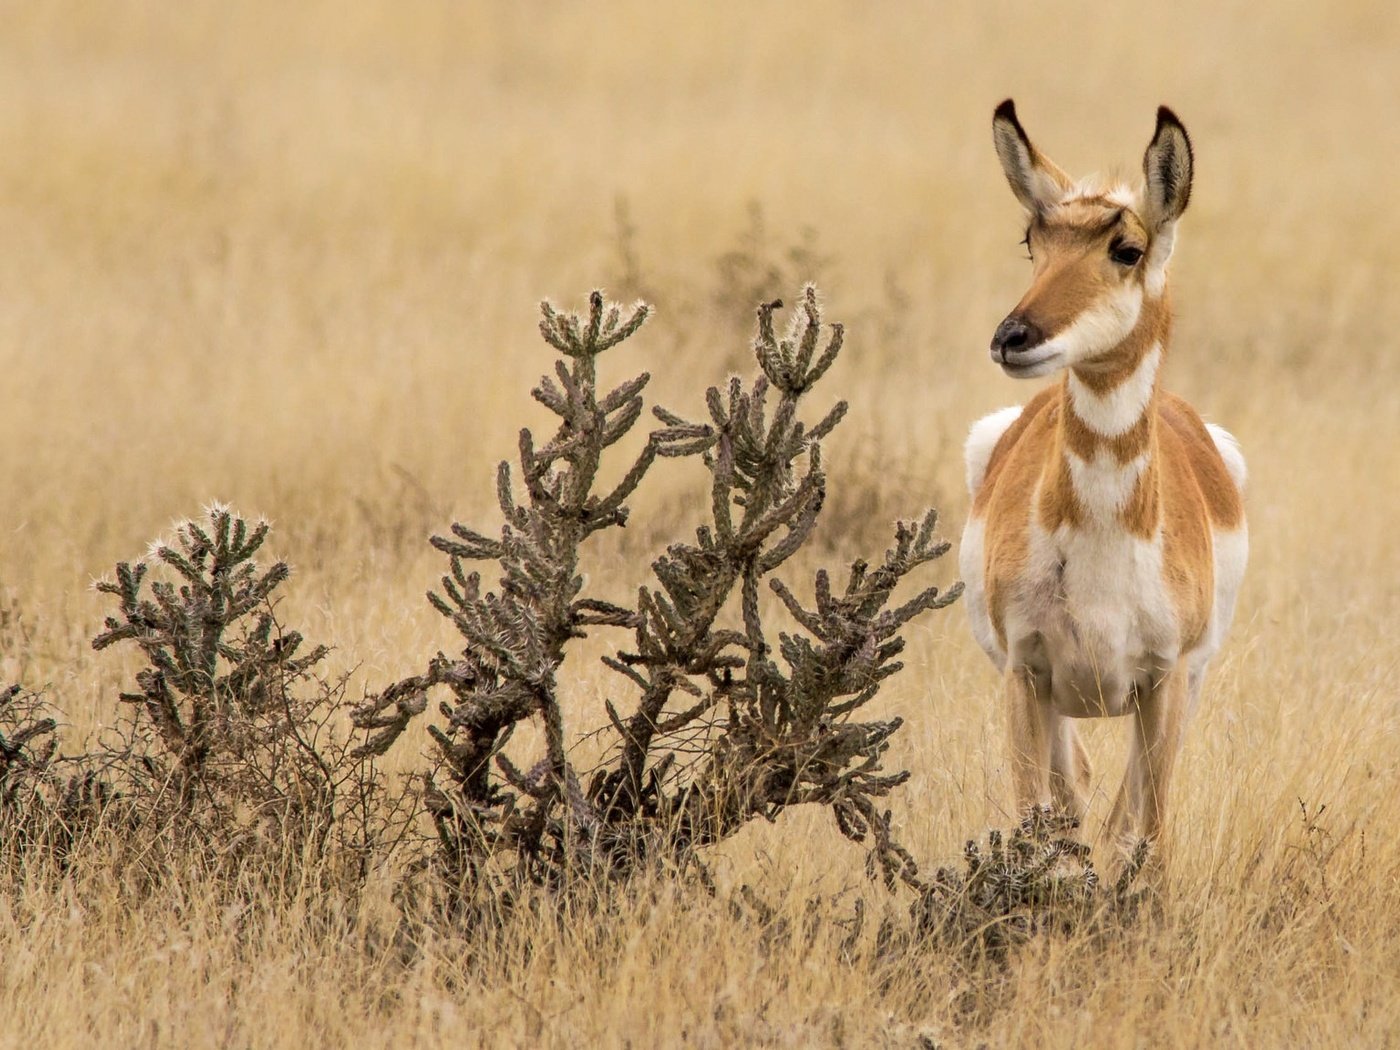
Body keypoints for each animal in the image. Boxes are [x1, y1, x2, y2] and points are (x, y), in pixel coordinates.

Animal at [963, 102, 1248, 868]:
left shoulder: (1165, 681)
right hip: (1059, 703)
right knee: (1075, 794)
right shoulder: (1027, 675)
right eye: (1034, 240)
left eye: (1126, 248)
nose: (1013, 337)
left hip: (1182, 690)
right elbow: (1039, 820)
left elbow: (1143, 836)